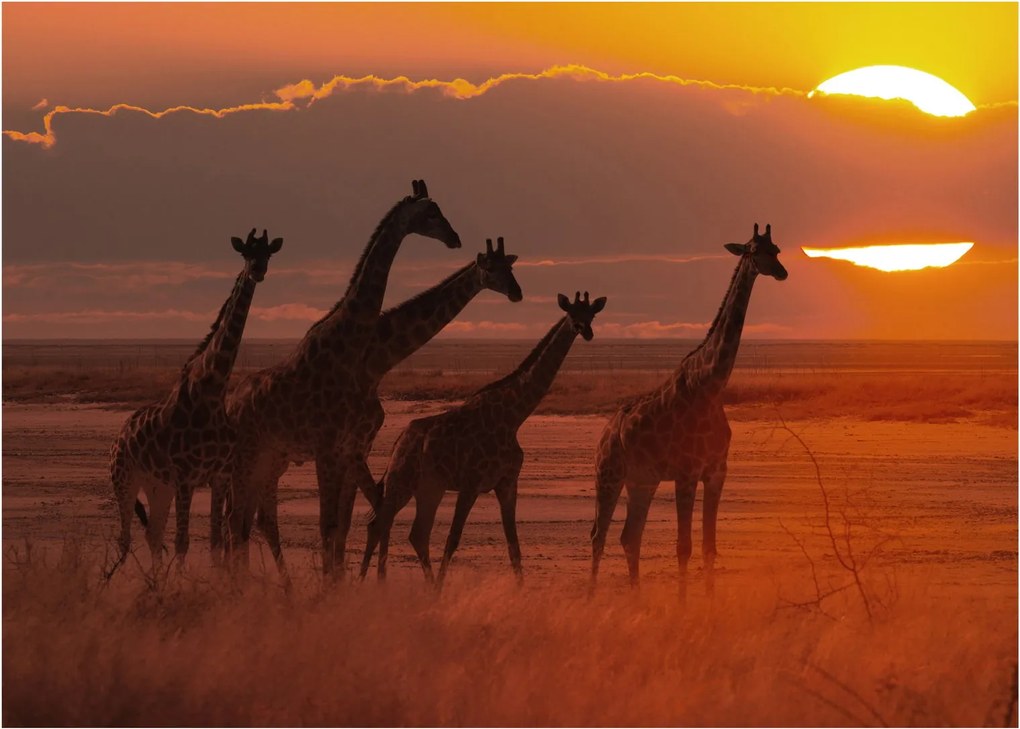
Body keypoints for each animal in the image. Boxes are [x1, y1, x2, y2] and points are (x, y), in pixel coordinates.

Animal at [110, 228, 283, 574]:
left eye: (267, 253)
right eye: (246, 253)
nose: (258, 271)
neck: (213, 389)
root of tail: (121, 434)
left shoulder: (218, 476)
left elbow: (215, 543)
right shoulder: (185, 478)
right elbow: (183, 542)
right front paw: (182, 584)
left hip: (157, 486)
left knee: (152, 535)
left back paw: (156, 582)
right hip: (124, 480)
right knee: (126, 540)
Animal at [224, 180, 462, 576]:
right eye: (431, 213)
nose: (455, 238)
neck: (350, 342)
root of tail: (229, 406)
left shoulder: (346, 448)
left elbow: (341, 525)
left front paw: (339, 583)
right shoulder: (327, 448)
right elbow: (329, 524)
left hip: (266, 459)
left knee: (242, 520)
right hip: (247, 458)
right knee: (235, 519)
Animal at [361, 291, 607, 584]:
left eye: (591, 314)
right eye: (572, 313)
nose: (586, 331)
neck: (513, 418)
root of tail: (399, 441)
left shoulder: (507, 483)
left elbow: (514, 545)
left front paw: (520, 589)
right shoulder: (471, 483)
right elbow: (453, 539)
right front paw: (442, 588)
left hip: (429, 488)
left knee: (415, 534)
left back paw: (419, 585)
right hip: (402, 481)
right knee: (378, 524)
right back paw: (367, 582)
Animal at [589, 223, 787, 598]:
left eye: (778, 249)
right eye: (755, 250)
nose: (782, 272)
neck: (711, 385)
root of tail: (606, 431)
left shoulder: (716, 471)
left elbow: (709, 546)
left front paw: (708, 603)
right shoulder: (686, 472)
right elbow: (684, 546)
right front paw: (683, 605)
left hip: (642, 480)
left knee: (629, 536)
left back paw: (637, 600)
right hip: (608, 473)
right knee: (598, 535)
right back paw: (593, 599)